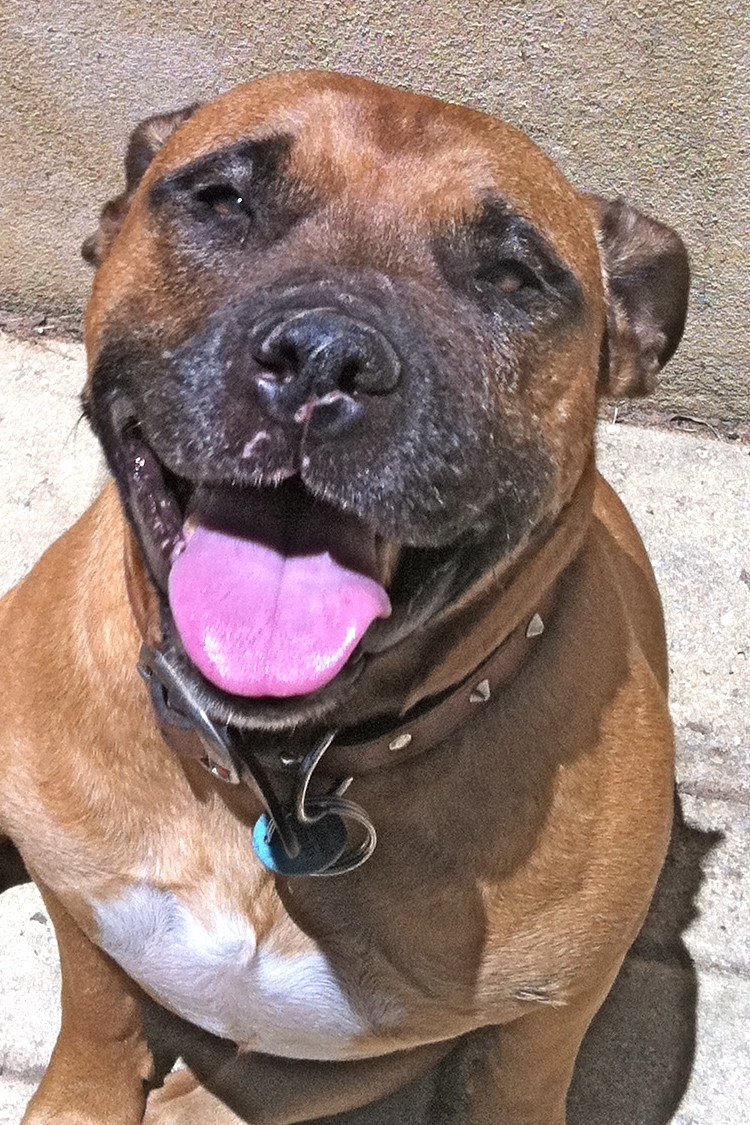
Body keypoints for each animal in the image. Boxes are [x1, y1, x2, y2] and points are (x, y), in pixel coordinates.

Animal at [0, 71, 689, 1124]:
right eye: (223, 200)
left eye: (513, 277)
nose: (327, 357)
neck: (282, 777)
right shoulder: (79, 898)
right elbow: (97, 1020)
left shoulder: (537, 1032)